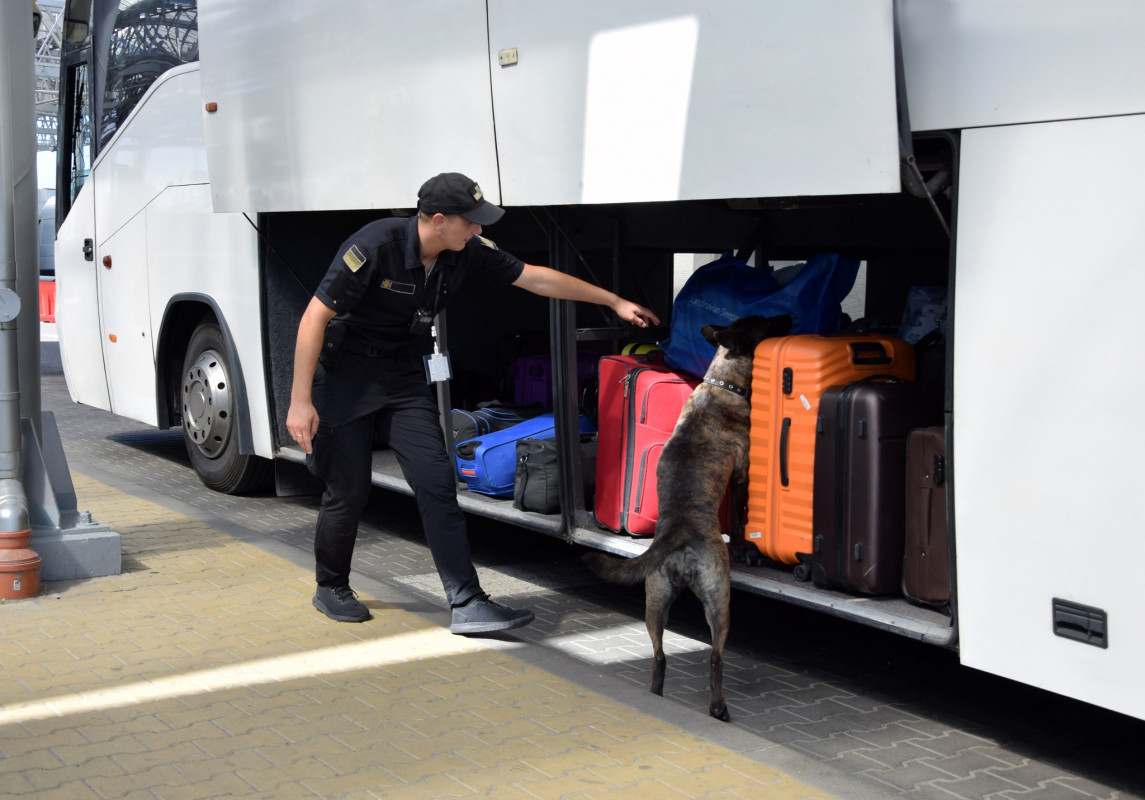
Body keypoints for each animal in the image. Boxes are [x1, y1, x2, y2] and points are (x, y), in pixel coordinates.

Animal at [586, 315, 792, 723]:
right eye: (764, 321)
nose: (788, 318)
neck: (721, 383)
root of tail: (678, 535)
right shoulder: (741, 475)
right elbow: (740, 520)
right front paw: (745, 549)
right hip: (719, 599)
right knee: (714, 658)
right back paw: (718, 707)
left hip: (655, 600)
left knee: (660, 657)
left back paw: (657, 694)